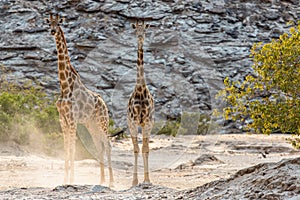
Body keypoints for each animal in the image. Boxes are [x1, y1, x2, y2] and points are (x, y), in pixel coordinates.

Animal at [44, 14, 113, 188]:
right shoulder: (62, 119)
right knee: (99, 146)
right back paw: (101, 180)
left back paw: (112, 182)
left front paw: (72, 179)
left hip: (102, 122)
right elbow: (66, 149)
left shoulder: (72, 119)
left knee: (108, 144)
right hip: (91, 124)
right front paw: (64, 180)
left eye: (58, 23)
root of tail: (104, 104)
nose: (52, 31)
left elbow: (73, 149)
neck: (64, 85)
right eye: (48, 23)